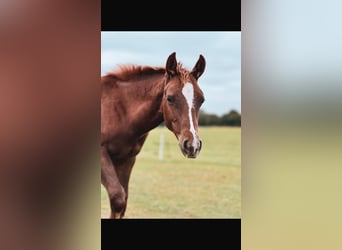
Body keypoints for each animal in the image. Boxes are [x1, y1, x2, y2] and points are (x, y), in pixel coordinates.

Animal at [100, 52, 204, 219]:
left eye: (202, 100)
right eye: (170, 98)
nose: (193, 145)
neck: (120, 111)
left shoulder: (126, 160)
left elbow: (122, 202)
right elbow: (118, 198)